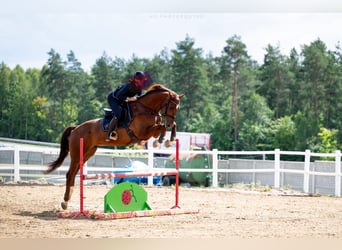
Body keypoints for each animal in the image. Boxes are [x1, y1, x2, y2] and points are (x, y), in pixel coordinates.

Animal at [46, 84, 184, 209]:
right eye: (172, 106)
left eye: (178, 108)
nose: (169, 123)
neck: (146, 109)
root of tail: (75, 128)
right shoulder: (143, 133)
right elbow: (160, 127)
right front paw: (162, 140)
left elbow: (166, 126)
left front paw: (168, 139)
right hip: (77, 153)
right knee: (70, 174)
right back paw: (65, 202)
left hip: (88, 152)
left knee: (74, 173)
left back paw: (68, 199)